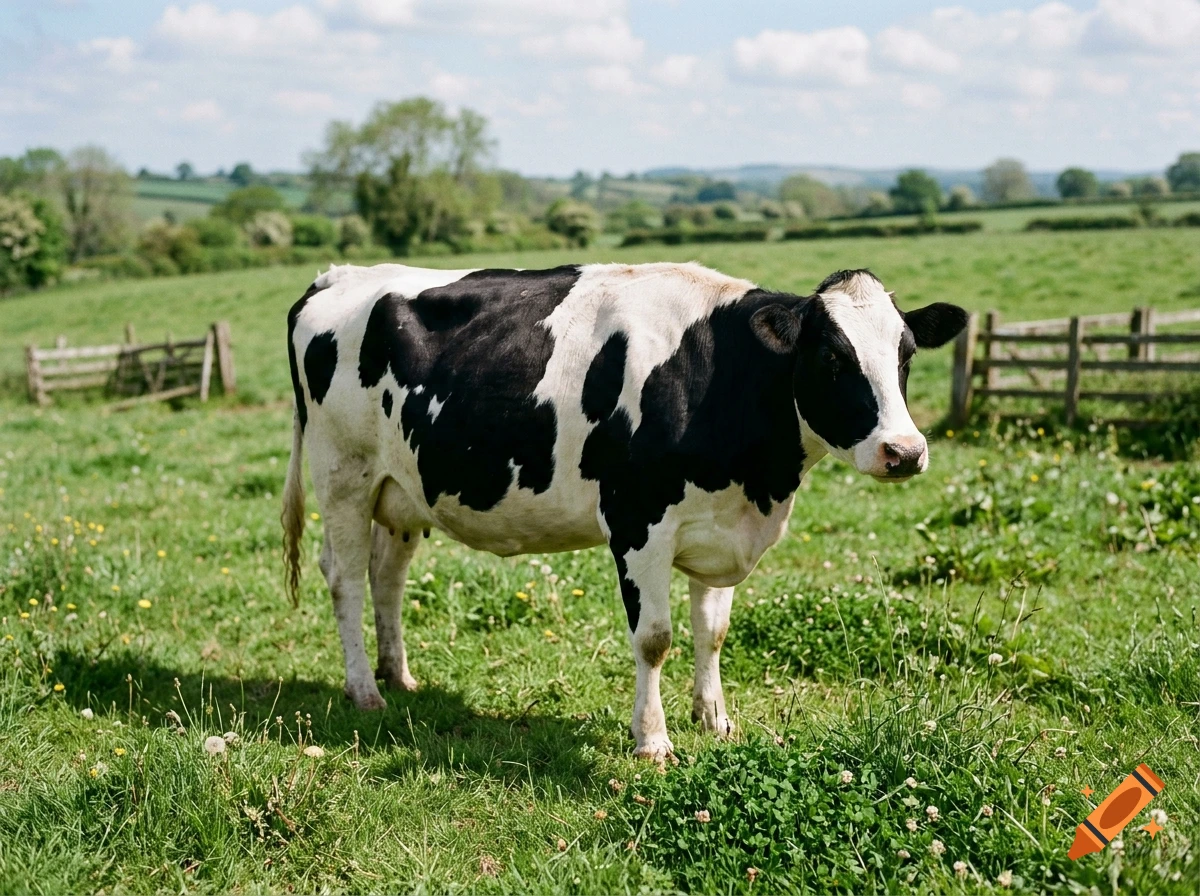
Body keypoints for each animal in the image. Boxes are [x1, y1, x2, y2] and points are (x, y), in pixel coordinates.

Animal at [281, 262, 967, 760]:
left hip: (400, 491)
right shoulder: (640, 525)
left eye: (905, 356)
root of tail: (337, 276)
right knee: (345, 579)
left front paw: (715, 719)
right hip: (343, 475)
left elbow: (713, 630)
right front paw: (653, 740)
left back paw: (399, 676)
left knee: (386, 579)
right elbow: (655, 638)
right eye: (831, 358)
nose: (905, 451)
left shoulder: (719, 523)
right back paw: (365, 690)